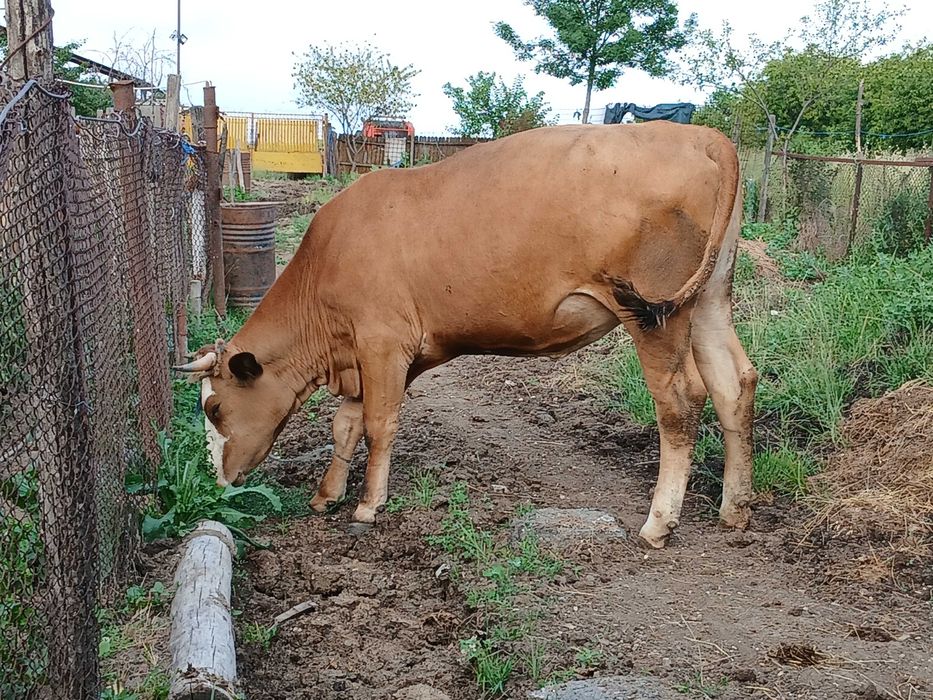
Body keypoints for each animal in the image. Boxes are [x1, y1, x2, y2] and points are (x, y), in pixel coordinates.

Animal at [175, 121, 757, 549]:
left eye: (215, 409)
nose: (215, 480)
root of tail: (702, 135)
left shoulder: (382, 343)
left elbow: (378, 425)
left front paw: (367, 504)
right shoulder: (363, 353)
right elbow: (345, 425)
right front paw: (327, 495)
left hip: (654, 314)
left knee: (680, 401)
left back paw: (659, 521)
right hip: (708, 299)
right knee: (734, 383)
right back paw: (735, 509)